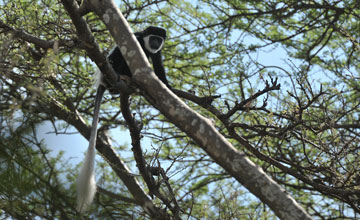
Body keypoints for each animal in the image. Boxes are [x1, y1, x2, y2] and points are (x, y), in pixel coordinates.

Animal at [76, 26, 169, 213]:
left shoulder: (157, 53)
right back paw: (123, 77)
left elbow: (159, 69)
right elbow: (122, 51)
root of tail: (103, 82)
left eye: (159, 39)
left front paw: (167, 88)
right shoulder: (136, 40)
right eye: (153, 38)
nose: (155, 43)